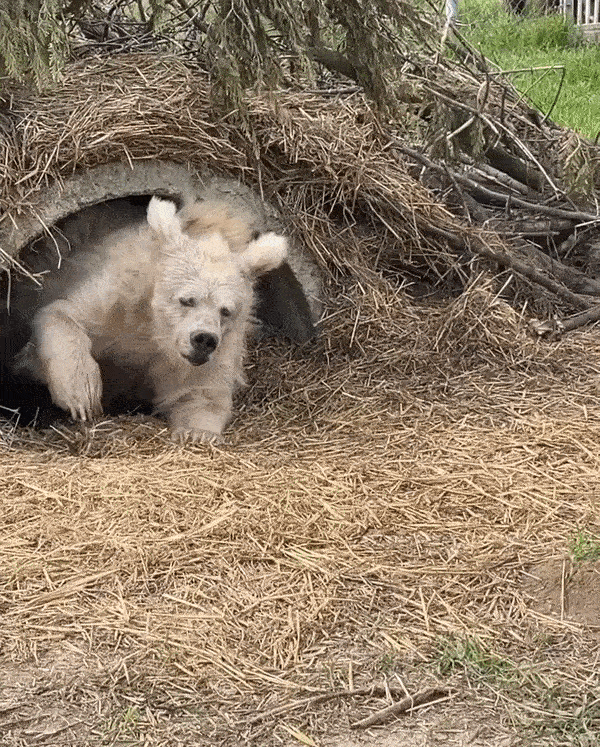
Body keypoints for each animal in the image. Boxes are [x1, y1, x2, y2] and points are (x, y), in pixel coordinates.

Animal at [12, 197, 288, 444]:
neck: (155, 328)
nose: (204, 339)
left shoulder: (217, 349)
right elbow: (62, 313)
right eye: (187, 300)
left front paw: (197, 433)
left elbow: (200, 393)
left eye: (226, 310)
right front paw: (83, 394)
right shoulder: (117, 300)